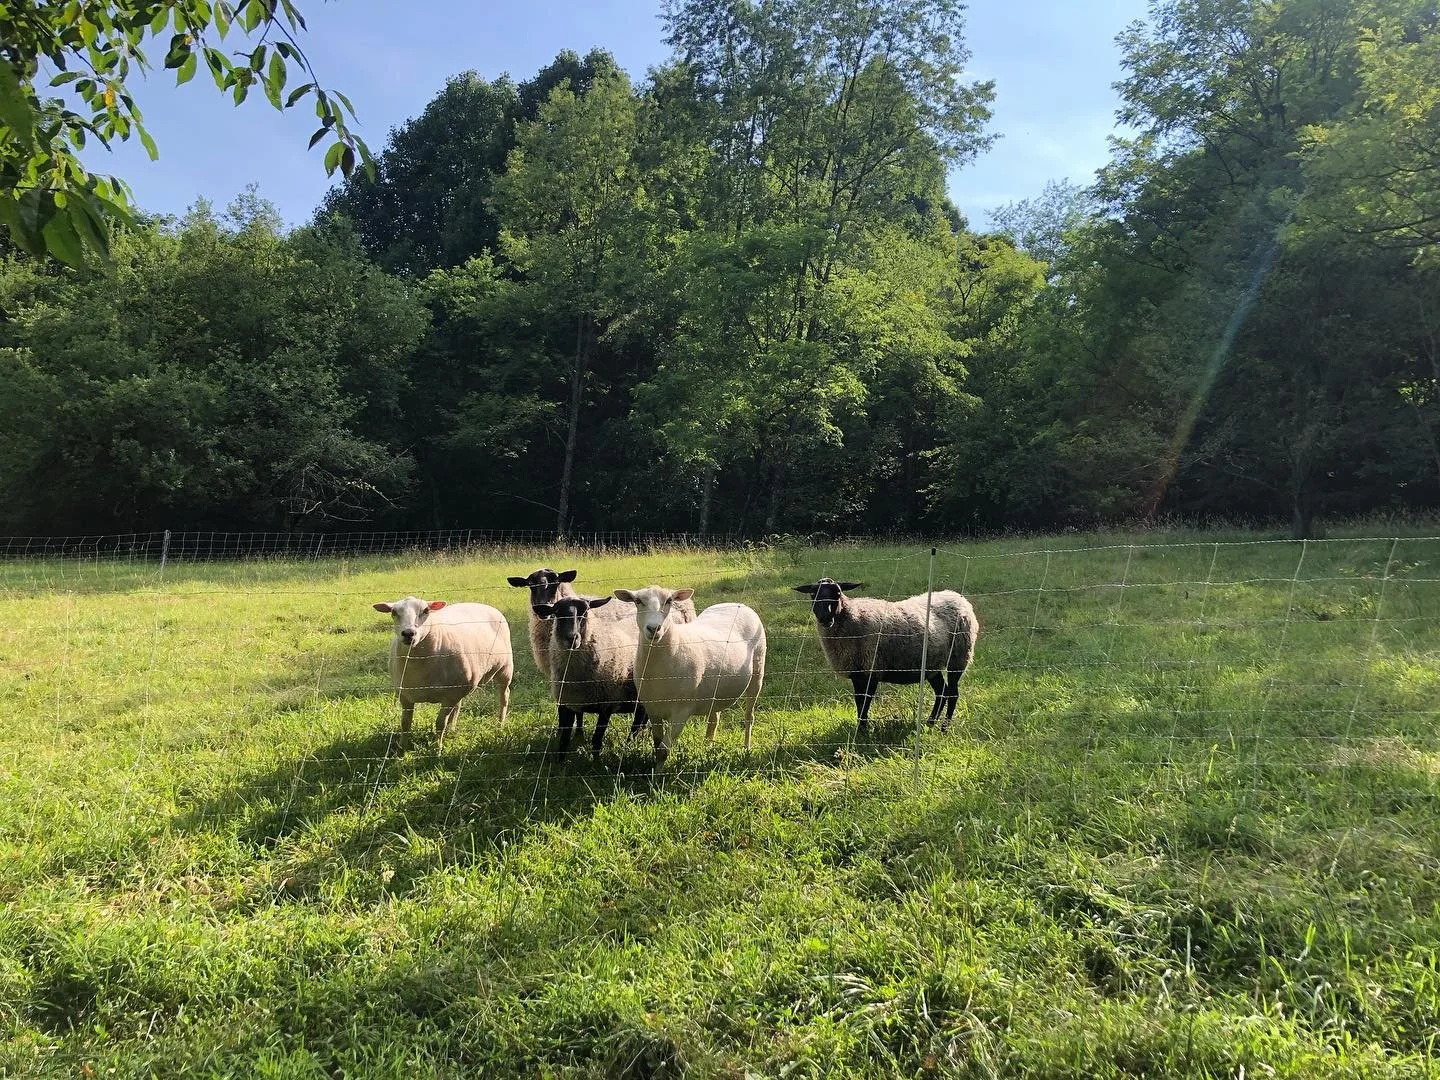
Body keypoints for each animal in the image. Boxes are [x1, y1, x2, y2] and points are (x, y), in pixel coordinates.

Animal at [371, 596, 513, 751]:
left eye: (426, 611)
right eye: (394, 612)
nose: (408, 633)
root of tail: (484, 605)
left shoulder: (449, 697)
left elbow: (439, 724)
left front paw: (437, 748)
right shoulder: (405, 695)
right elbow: (405, 723)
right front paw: (401, 749)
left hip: (505, 669)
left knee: (504, 697)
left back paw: (500, 724)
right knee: (458, 706)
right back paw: (452, 729)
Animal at [612, 585, 766, 769]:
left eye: (669, 601)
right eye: (637, 601)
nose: (654, 628)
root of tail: (738, 604)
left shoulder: (681, 711)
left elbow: (663, 750)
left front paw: (658, 775)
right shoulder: (652, 710)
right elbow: (657, 745)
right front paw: (654, 770)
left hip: (758, 670)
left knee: (749, 716)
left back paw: (746, 748)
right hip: (715, 689)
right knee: (714, 718)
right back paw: (707, 747)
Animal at [792, 578, 978, 734]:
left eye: (837, 593)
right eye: (813, 594)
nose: (825, 619)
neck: (852, 617)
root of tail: (958, 597)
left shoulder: (871, 669)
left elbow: (864, 702)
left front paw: (862, 731)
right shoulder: (857, 672)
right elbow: (859, 701)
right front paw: (861, 729)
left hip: (958, 658)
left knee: (952, 694)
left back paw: (943, 729)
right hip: (932, 664)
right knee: (942, 692)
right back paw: (929, 723)